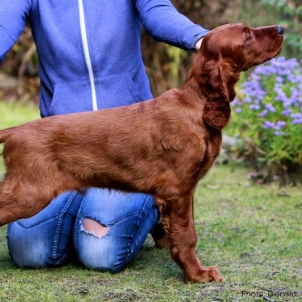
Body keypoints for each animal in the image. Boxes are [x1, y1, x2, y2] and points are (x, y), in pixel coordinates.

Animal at [0, 24, 284, 284]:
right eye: (247, 34)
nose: (281, 29)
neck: (197, 107)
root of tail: (14, 131)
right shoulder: (178, 188)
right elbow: (187, 235)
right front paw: (197, 274)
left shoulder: (184, 189)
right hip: (30, 191)